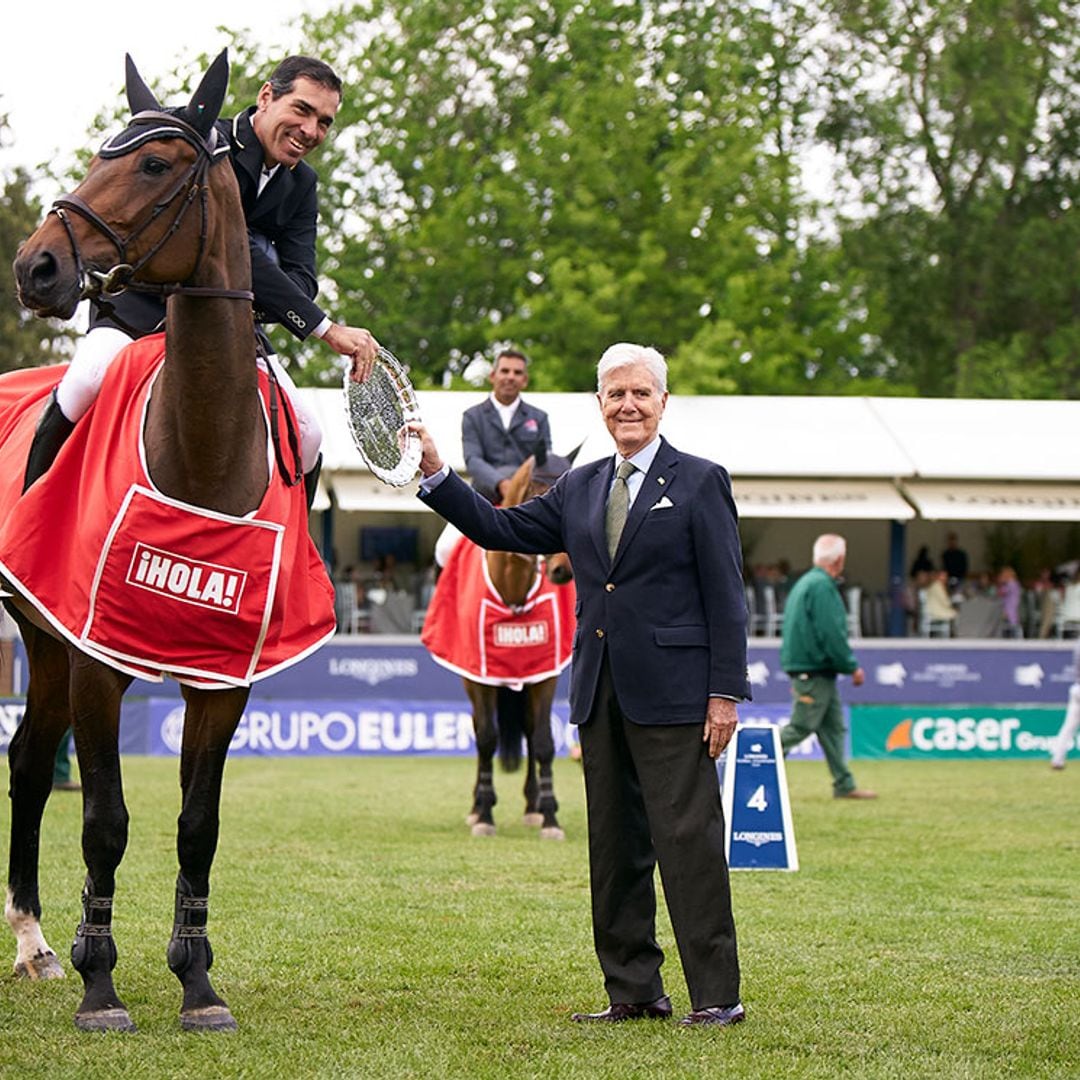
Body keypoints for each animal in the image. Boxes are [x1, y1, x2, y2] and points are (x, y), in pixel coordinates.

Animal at [4, 54, 289, 1032]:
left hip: (48, 646)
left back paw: (36, 945)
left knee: (26, 760)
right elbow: (105, 821)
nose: (36, 265)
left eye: (157, 165)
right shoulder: (99, 665)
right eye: (101, 155)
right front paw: (103, 984)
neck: (197, 449)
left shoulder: (224, 681)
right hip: (54, 641)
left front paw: (196, 980)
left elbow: (196, 826)